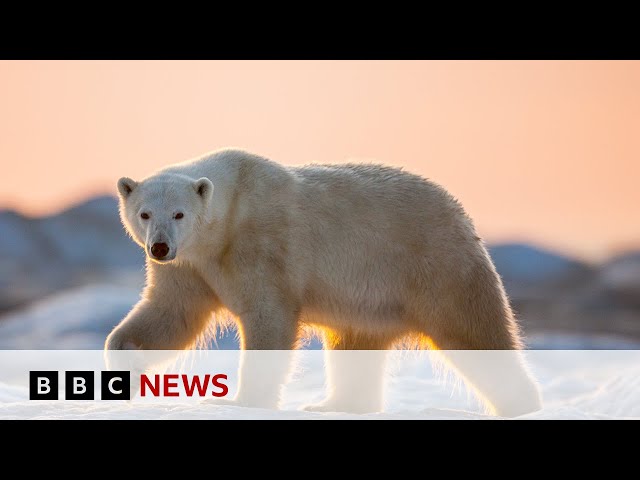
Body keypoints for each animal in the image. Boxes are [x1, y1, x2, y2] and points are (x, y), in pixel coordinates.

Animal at [107, 148, 544, 414]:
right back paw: (336, 404)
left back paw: (521, 403)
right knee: (354, 344)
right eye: (145, 213)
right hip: (369, 300)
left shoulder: (260, 245)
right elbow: (172, 314)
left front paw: (242, 401)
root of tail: (459, 212)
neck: (226, 218)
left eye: (179, 213)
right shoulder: (190, 267)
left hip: (434, 267)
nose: (160, 246)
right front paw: (123, 360)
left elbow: (269, 316)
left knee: (473, 332)